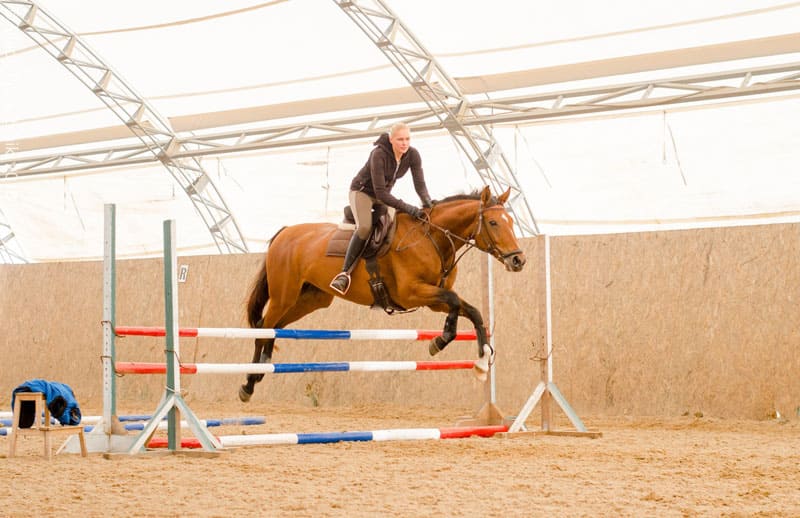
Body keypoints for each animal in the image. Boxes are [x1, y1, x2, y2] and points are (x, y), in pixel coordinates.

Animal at [238, 188, 524, 406]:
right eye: (494, 223)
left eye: (510, 222)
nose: (518, 260)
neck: (432, 238)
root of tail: (285, 232)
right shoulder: (412, 293)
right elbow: (454, 301)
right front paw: (440, 341)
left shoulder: (433, 301)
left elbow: (471, 310)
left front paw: (483, 360)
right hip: (284, 295)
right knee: (263, 327)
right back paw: (249, 383)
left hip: (311, 299)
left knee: (273, 327)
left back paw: (263, 368)